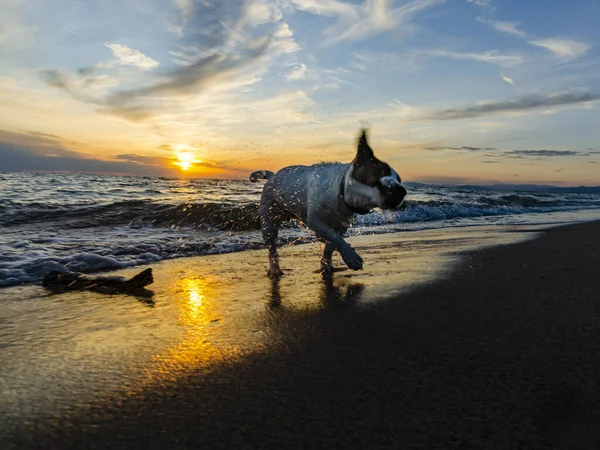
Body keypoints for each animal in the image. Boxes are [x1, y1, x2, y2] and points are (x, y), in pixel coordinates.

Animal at [248, 128, 408, 280]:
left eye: (399, 180)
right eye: (379, 173)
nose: (402, 190)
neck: (340, 191)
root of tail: (272, 176)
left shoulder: (341, 225)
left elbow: (332, 243)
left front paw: (327, 264)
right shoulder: (316, 220)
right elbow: (335, 238)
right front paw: (351, 257)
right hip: (268, 220)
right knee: (272, 248)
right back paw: (275, 269)